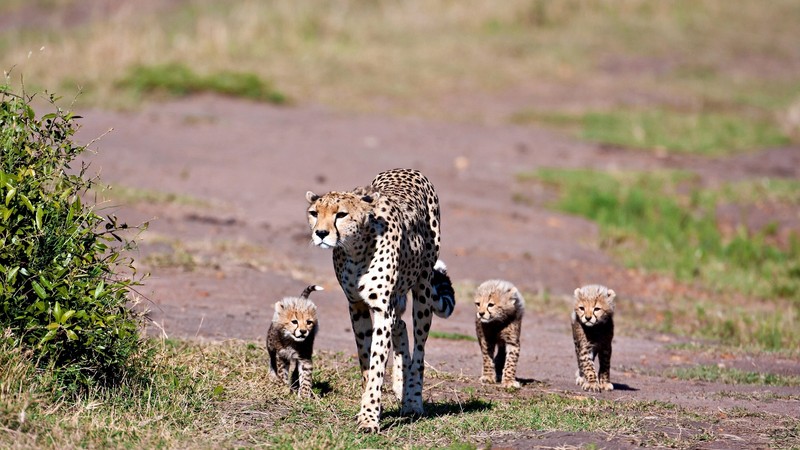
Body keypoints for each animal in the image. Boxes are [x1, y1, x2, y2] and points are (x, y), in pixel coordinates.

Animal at [306, 168, 456, 432]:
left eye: (341, 214)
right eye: (315, 213)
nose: (321, 233)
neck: (356, 249)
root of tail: (407, 169)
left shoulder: (381, 310)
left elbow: (377, 363)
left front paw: (369, 418)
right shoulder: (356, 306)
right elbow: (366, 360)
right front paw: (371, 405)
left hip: (423, 290)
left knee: (419, 349)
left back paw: (412, 400)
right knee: (401, 326)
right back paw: (400, 385)